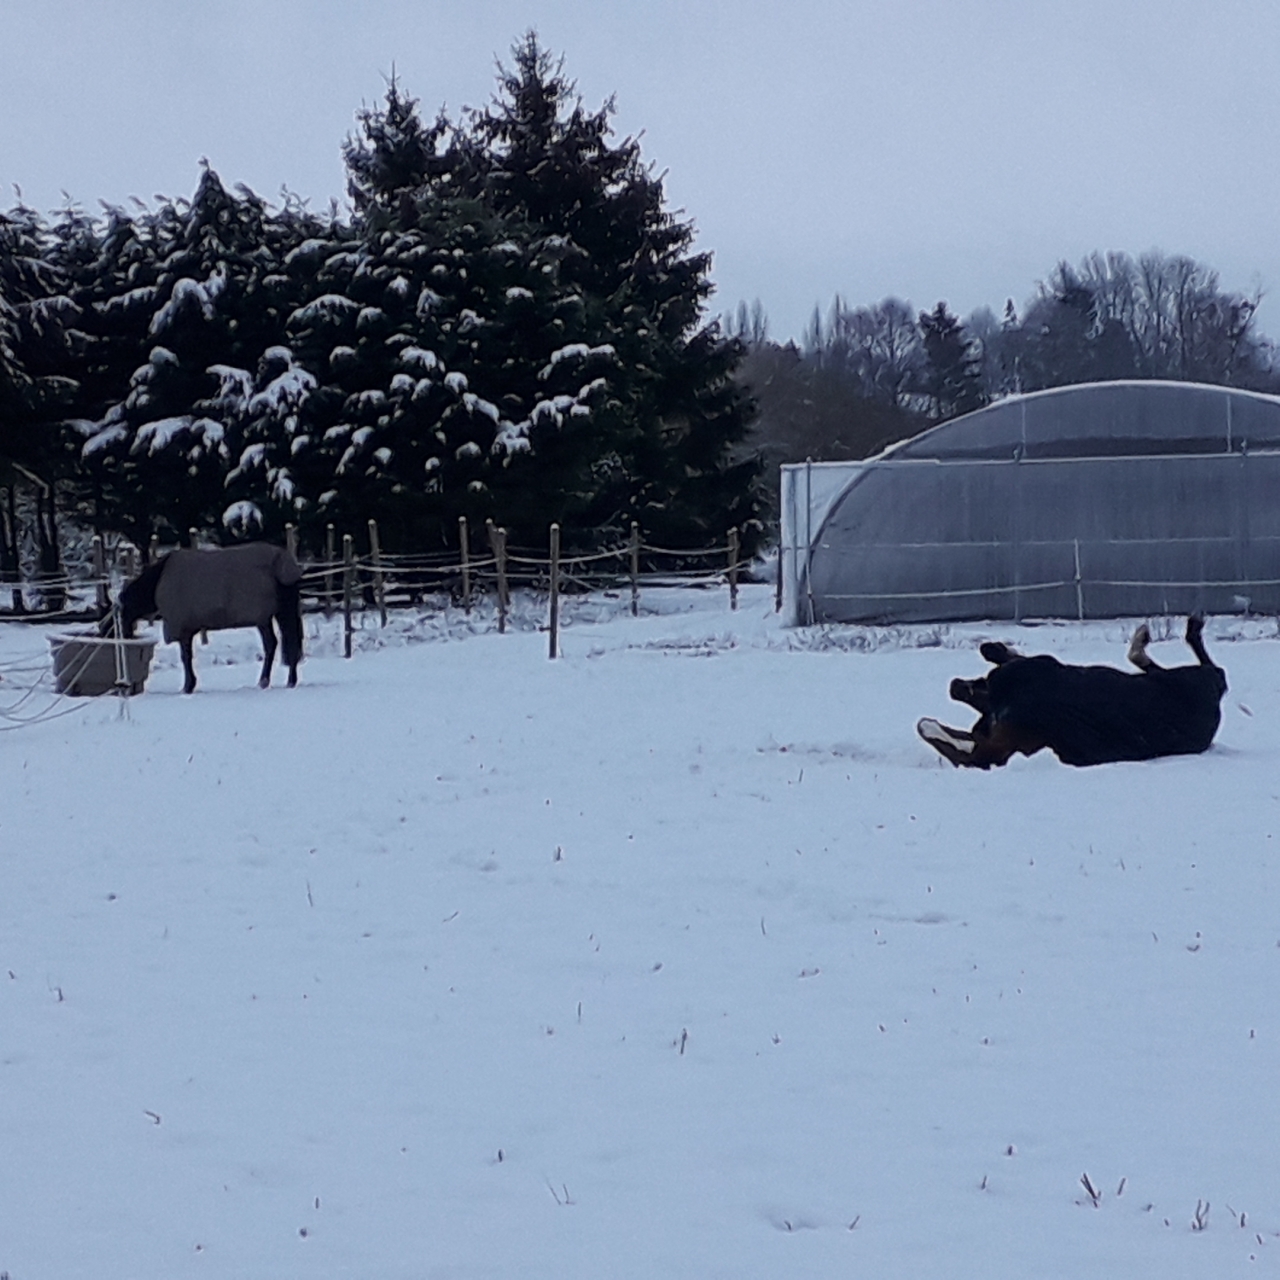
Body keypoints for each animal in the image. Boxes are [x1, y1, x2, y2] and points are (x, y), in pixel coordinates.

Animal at [104, 542, 304, 694]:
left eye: (115, 622)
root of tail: (282, 564)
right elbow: (187, 656)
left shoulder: (183, 630)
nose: (120, 638)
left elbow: (185, 657)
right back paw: (290, 680)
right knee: (290, 642)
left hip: (264, 619)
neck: (157, 582)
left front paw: (188, 686)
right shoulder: (189, 629)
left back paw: (265, 680)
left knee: (272, 644)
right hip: (281, 613)